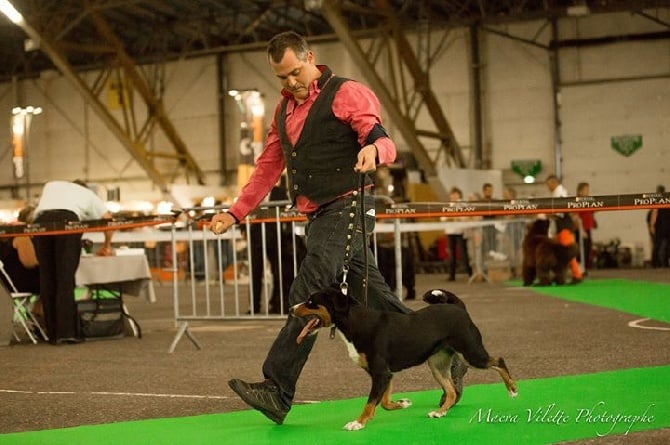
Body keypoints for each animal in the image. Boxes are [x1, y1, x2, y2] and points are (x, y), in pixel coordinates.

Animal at [292, 288, 520, 430]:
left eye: (311, 302)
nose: (291, 308)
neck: (357, 323)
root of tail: (458, 307)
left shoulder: (381, 373)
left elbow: (370, 403)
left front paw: (358, 423)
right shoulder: (385, 374)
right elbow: (383, 402)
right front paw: (402, 403)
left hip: (472, 352)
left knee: (499, 361)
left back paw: (512, 390)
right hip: (436, 364)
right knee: (451, 391)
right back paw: (439, 413)